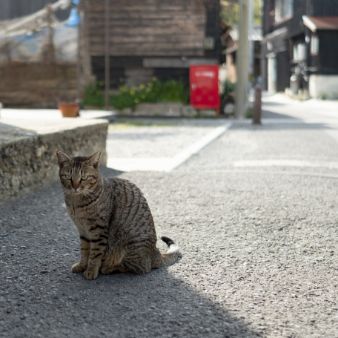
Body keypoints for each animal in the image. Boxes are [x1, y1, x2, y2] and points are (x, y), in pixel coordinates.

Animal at [56, 151, 181, 280]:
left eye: (83, 178)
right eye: (68, 177)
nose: (75, 187)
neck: (77, 203)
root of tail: (156, 252)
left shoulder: (98, 230)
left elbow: (95, 253)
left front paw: (91, 270)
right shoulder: (83, 230)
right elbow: (84, 250)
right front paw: (82, 265)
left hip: (131, 245)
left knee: (140, 267)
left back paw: (109, 268)